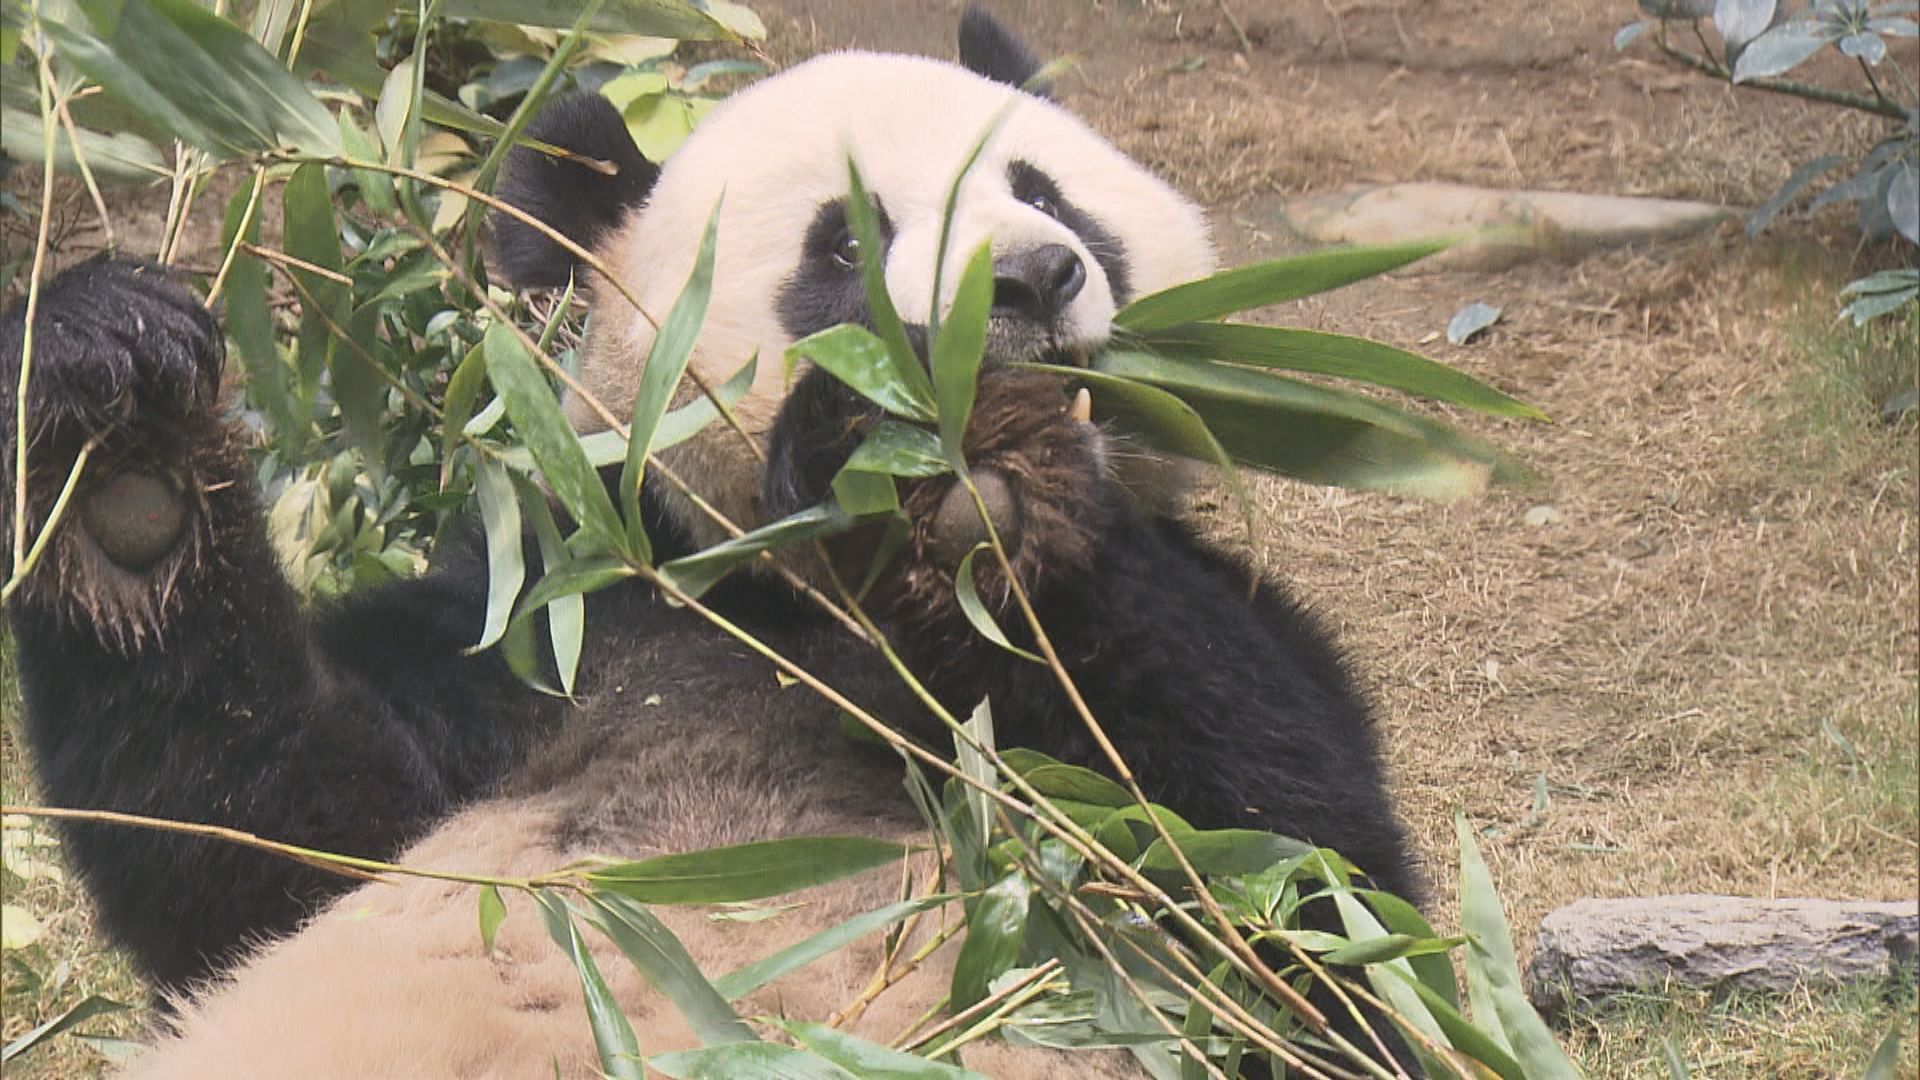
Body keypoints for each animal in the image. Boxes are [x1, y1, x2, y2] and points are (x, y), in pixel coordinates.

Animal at [3, 6, 1428, 1068]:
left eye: (1047, 191)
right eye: (845, 244)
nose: (1028, 279)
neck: (796, 604)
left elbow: (1295, 877)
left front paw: (995, 490)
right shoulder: (543, 634)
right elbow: (258, 834)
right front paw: (122, 453)